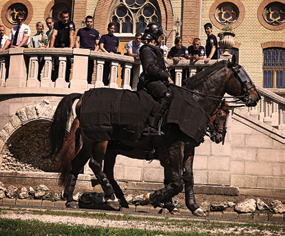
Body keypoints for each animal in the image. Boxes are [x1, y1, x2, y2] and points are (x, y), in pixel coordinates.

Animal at [49, 60, 260, 215]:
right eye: (242, 75)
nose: (256, 97)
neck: (194, 102)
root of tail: (83, 96)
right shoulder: (175, 148)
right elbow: (176, 181)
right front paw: (152, 199)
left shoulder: (188, 149)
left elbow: (187, 178)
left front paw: (192, 207)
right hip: (101, 140)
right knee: (95, 164)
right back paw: (113, 197)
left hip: (92, 142)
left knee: (79, 164)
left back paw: (71, 199)